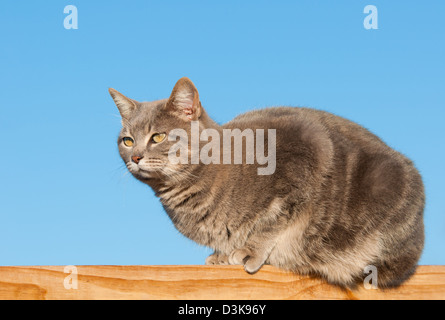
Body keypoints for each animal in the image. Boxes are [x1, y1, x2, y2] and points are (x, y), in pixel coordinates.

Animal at [110, 78, 424, 290]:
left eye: (158, 137)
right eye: (127, 140)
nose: (135, 156)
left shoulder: (305, 152)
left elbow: (273, 220)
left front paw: (250, 250)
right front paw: (221, 255)